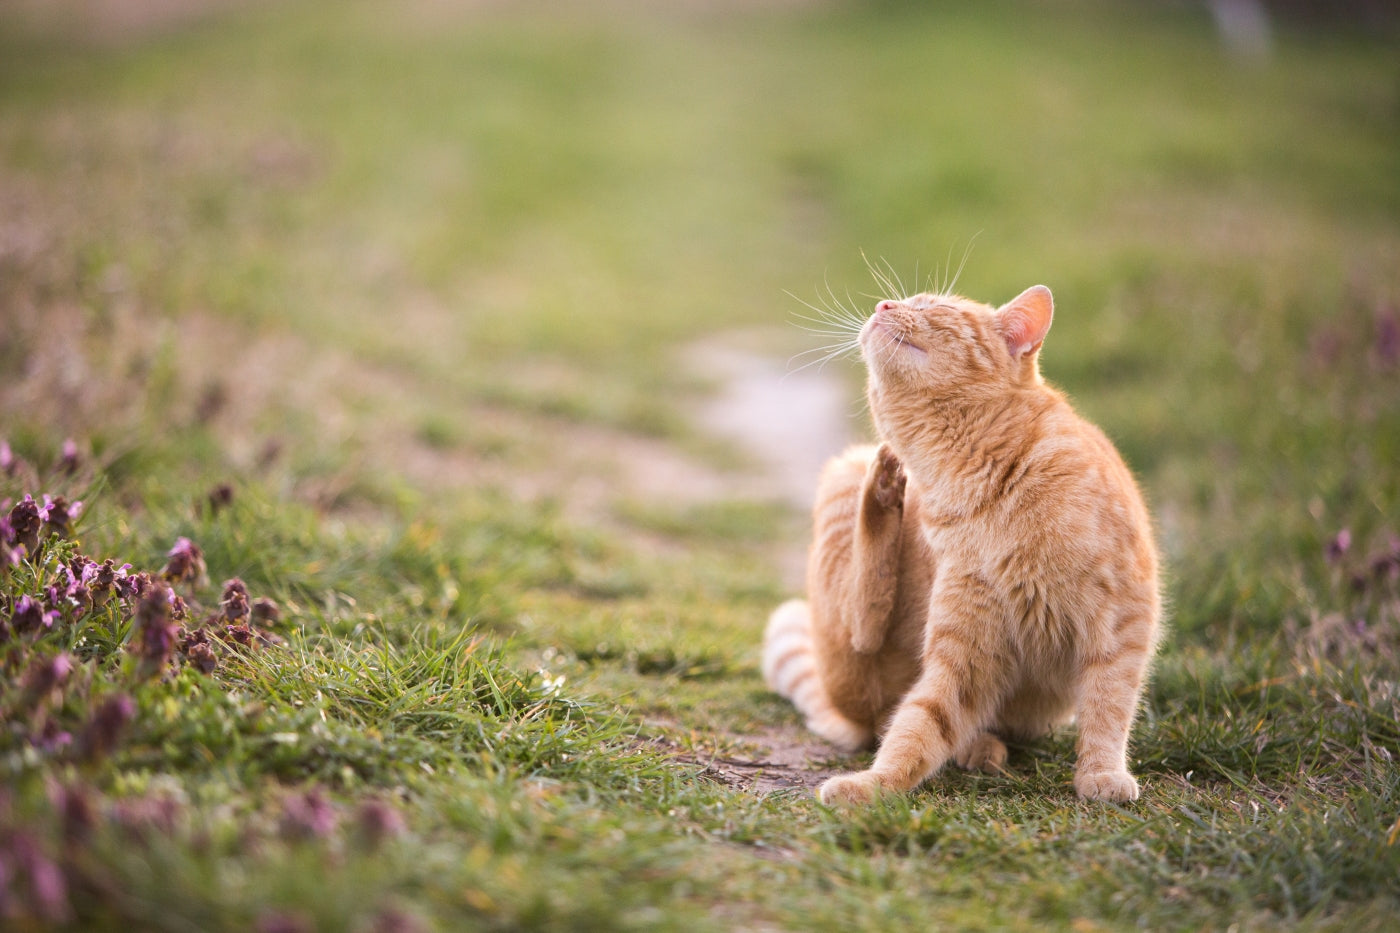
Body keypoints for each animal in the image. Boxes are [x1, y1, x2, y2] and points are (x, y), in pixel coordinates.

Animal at [761, 281, 1164, 801]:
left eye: (933, 307)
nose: (882, 306)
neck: (973, 479)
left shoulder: (1121, 623)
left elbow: (1108, 706)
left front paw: (1101, 774)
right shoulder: (963, 652)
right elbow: (917, 726)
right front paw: (871, 785)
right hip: (844, 478)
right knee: (865, 639)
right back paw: (885, 488)